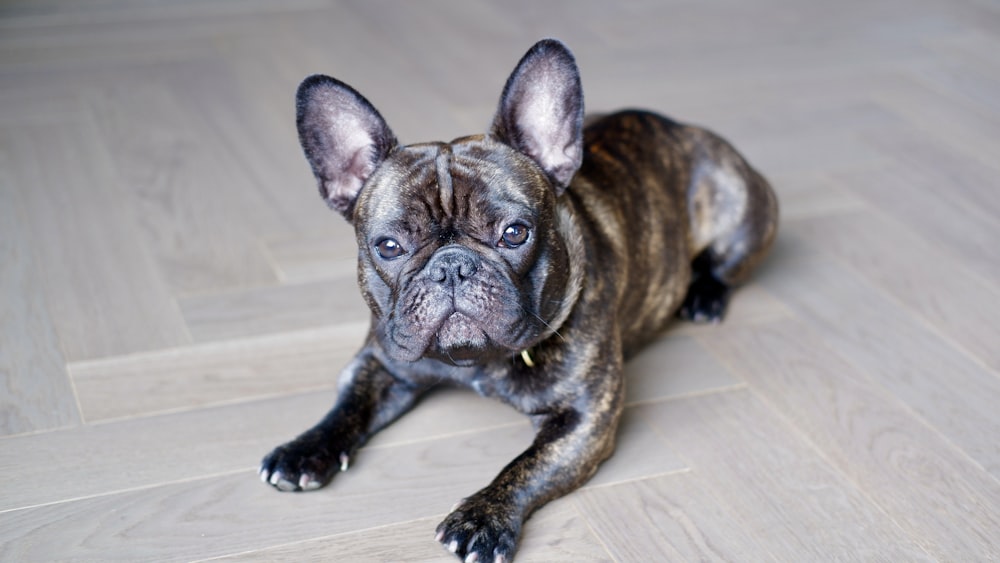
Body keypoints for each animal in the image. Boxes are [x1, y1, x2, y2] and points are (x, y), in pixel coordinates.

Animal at [262, 40, 776, 563]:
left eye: (514, 233)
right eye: (388, 246)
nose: (452, 266)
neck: (478, 363)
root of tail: (677, 126)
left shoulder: (584, 418)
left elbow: (528, 463)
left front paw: (482, 517)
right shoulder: (379, 361)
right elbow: (347, 405)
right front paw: (304, 448)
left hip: (739, 212)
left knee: (726, 264)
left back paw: (705, 295)